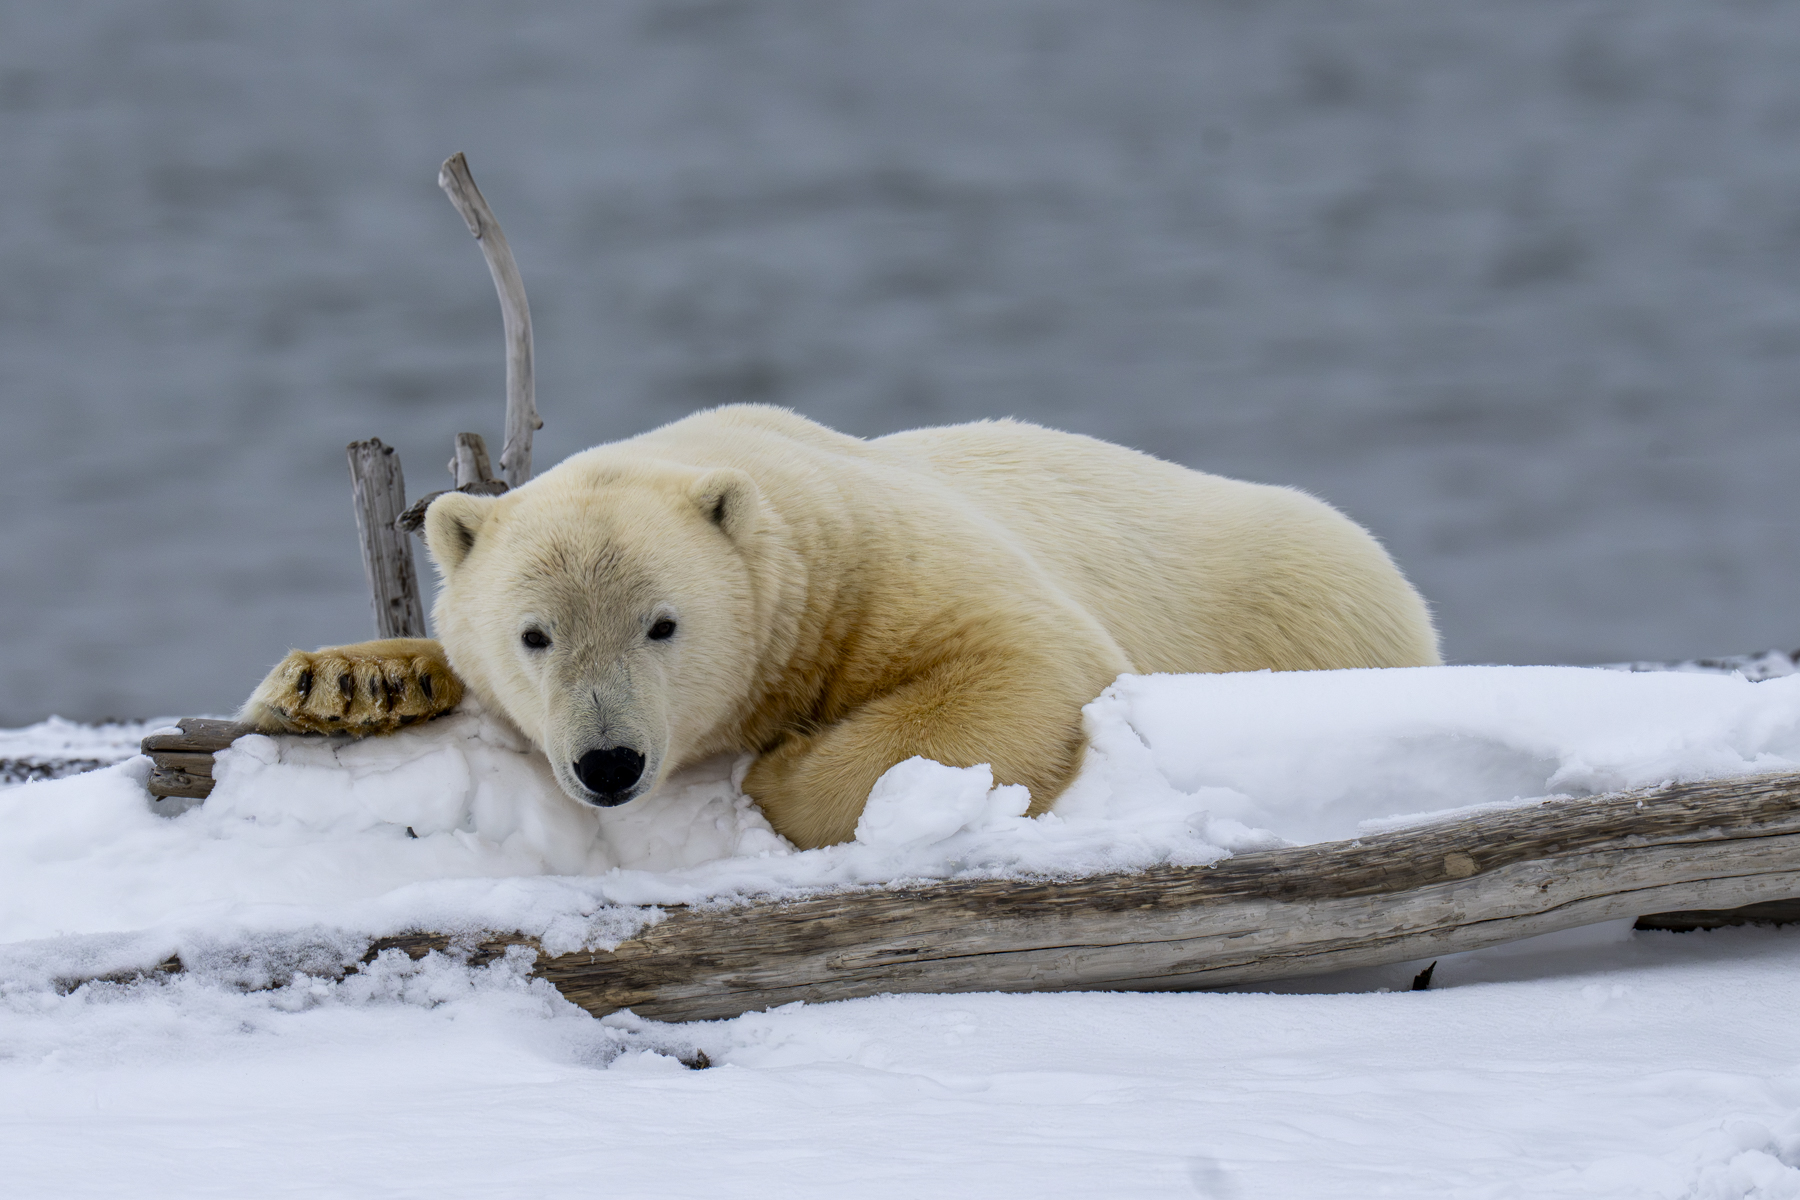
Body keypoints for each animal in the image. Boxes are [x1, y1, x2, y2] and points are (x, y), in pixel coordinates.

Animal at [242, 405, 1439, 849]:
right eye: (536, 636)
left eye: (663, 625)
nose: (609, 762)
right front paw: (346, 683)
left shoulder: (874, 559)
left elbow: (1029, 664)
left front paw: (784, 765)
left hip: (1311, 598)